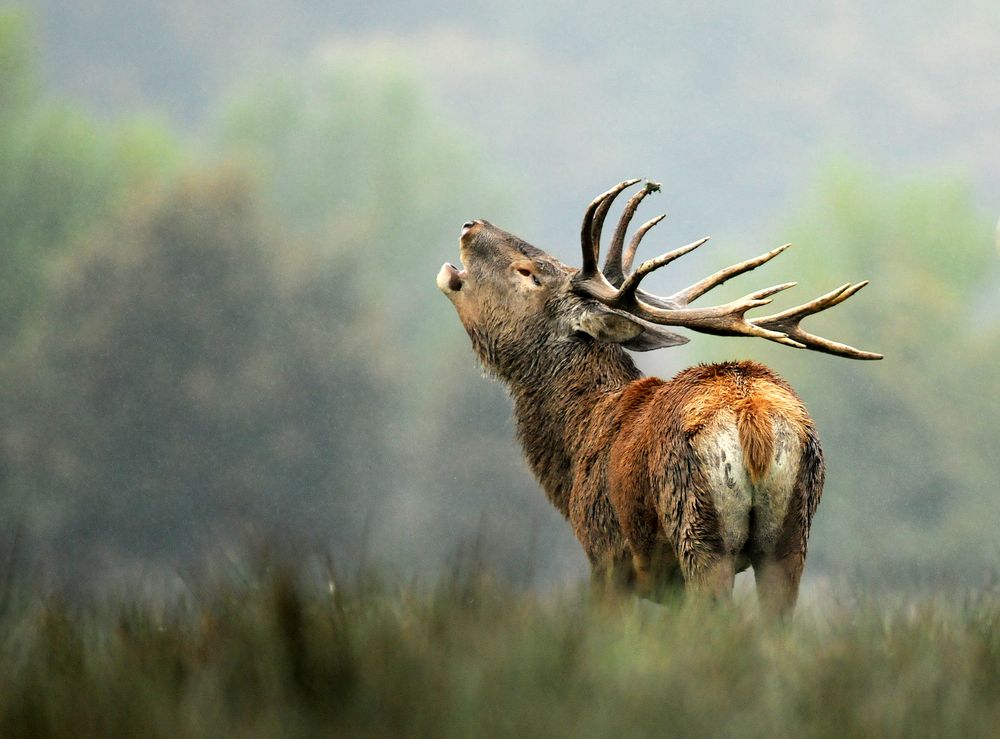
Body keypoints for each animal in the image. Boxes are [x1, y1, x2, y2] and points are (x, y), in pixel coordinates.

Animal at [434, 181, 880, 620]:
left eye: (529, 274)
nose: (471, 225)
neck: (577, 442)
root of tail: (751, 414)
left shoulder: (604, 551)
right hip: (792, 530)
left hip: (698, 521)